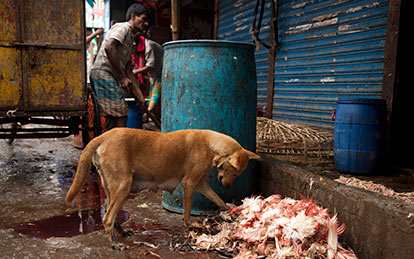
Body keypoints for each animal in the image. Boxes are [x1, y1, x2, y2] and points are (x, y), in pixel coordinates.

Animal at [65, 128, 258, 250]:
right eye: (235, 171)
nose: (228, 186)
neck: (211, 143)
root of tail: (102, 137)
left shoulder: (201, 184)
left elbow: (219, 200)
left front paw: (230, 210)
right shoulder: (189, 183)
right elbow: (187, 212)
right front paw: (190, 225)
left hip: (113, 187)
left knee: (109, 212)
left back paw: (121, 232)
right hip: (123, 185)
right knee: (107, 218)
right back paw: (114, 243)